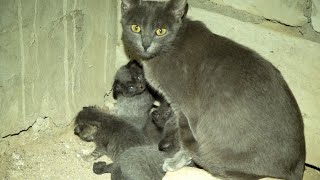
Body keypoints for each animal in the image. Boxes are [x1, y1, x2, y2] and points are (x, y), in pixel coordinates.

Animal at [119, 0, 304, 180]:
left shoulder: (186, 110)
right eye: (135, 28)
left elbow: (185, 137)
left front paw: (177, 160)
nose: (145, 44)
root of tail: (298, 168)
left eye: (160, 31)